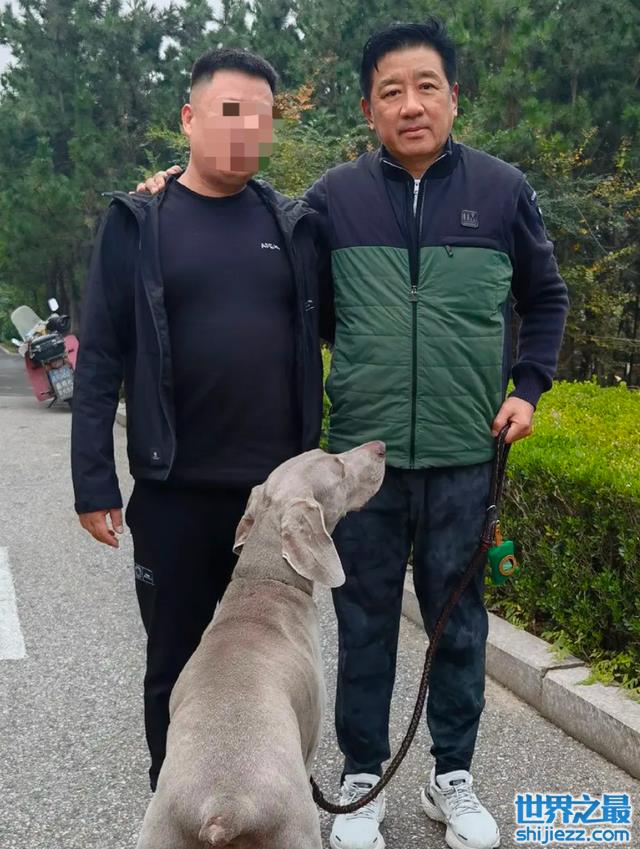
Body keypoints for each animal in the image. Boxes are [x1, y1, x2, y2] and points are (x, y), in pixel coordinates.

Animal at [135, 441, 386, 849]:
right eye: (335, 464)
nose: (380, 447)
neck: (264, 580)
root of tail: (224, 810)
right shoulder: (311, 735)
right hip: (295, 828)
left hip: (162, 831)